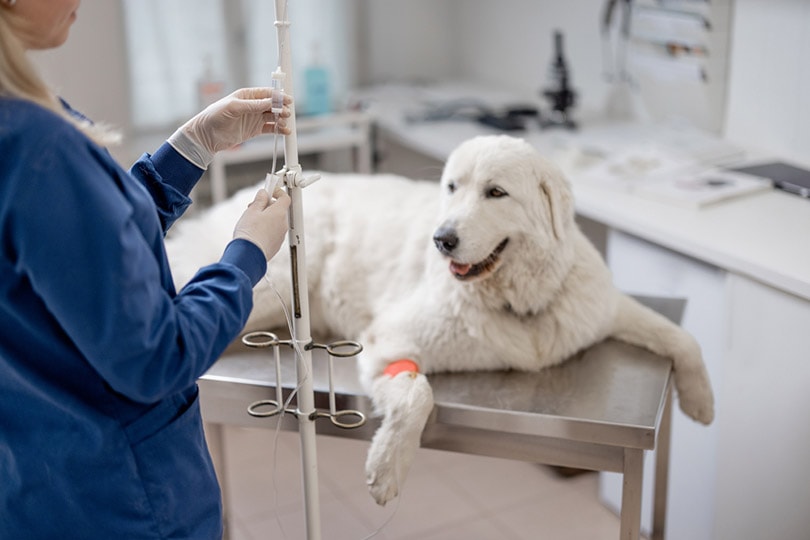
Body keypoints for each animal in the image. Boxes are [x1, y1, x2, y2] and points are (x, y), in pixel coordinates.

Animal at [166, 135, 712, 506]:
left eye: (496, 193)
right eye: (452, 188)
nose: (442, 239)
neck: (520, 303)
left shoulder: (599, 307)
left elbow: (678, 334)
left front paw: (701, 401)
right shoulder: (389, 340)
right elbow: (418, 393)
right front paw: (388, 467)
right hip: (268, 285)